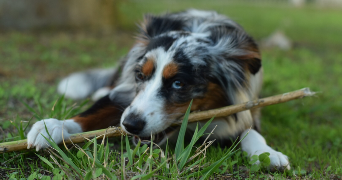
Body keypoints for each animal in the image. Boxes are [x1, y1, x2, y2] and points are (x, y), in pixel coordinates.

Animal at [26, 9, 290, 170]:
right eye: (140, 75)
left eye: (178, 83)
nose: (130, 125)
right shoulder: (126, 94)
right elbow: (91, 113)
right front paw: (52, 127)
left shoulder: (247, 106)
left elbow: (250, 131)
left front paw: (267, 152)